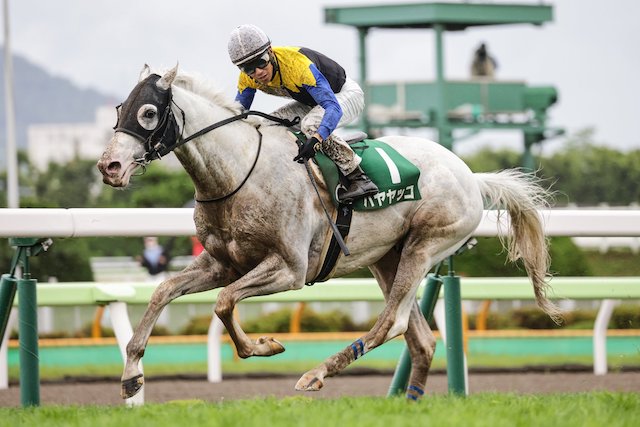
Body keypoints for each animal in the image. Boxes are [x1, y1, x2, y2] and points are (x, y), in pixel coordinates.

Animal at [96, 63, 560, 402]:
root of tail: (471, 176)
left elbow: (224, 303)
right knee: (421, 339)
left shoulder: (290, 269)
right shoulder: (222, 262)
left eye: (148, 112)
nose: (109, 167)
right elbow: (163, 292)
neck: (238, 172)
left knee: (391, 323)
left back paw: (315, 374)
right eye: (118, 110)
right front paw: (131, 375)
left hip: (426, 245)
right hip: (388, 257)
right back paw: (407, 402)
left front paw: (264, 346)